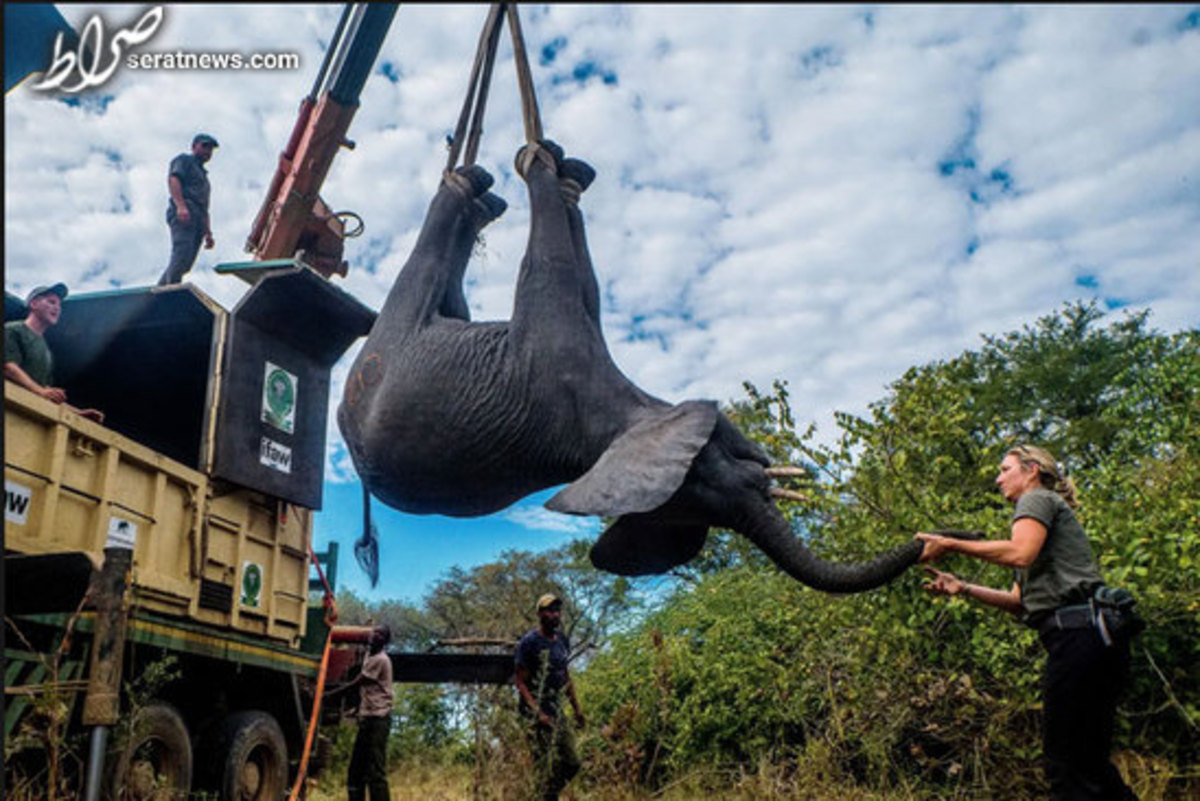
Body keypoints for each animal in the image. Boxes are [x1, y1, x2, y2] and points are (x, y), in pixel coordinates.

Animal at [338, 140, 926, 592]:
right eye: (710, 476)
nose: (923, 540)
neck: (613, 426)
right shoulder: (555, 356)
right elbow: (554, 266)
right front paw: (538, 163)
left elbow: (588, 281)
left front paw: (567, 176)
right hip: (388, 340)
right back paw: (470, 183)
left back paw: (485, 195)